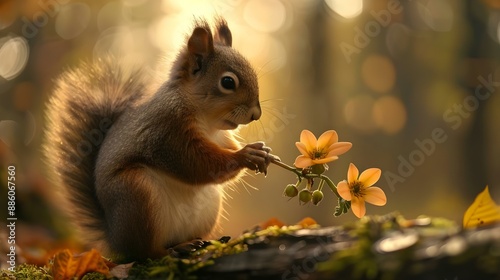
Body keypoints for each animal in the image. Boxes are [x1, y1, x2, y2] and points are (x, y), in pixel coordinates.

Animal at [44, 17, 278, 260]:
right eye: (228, 82)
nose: (256, 114)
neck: (207, 120)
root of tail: (115, 240)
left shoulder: (221, 138)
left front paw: (264, 152)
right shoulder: (168, 132)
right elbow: (196, 163)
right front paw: (246, 155)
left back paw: (195, 242)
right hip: (136, 195)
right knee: (148, 252)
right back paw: (175, 249)